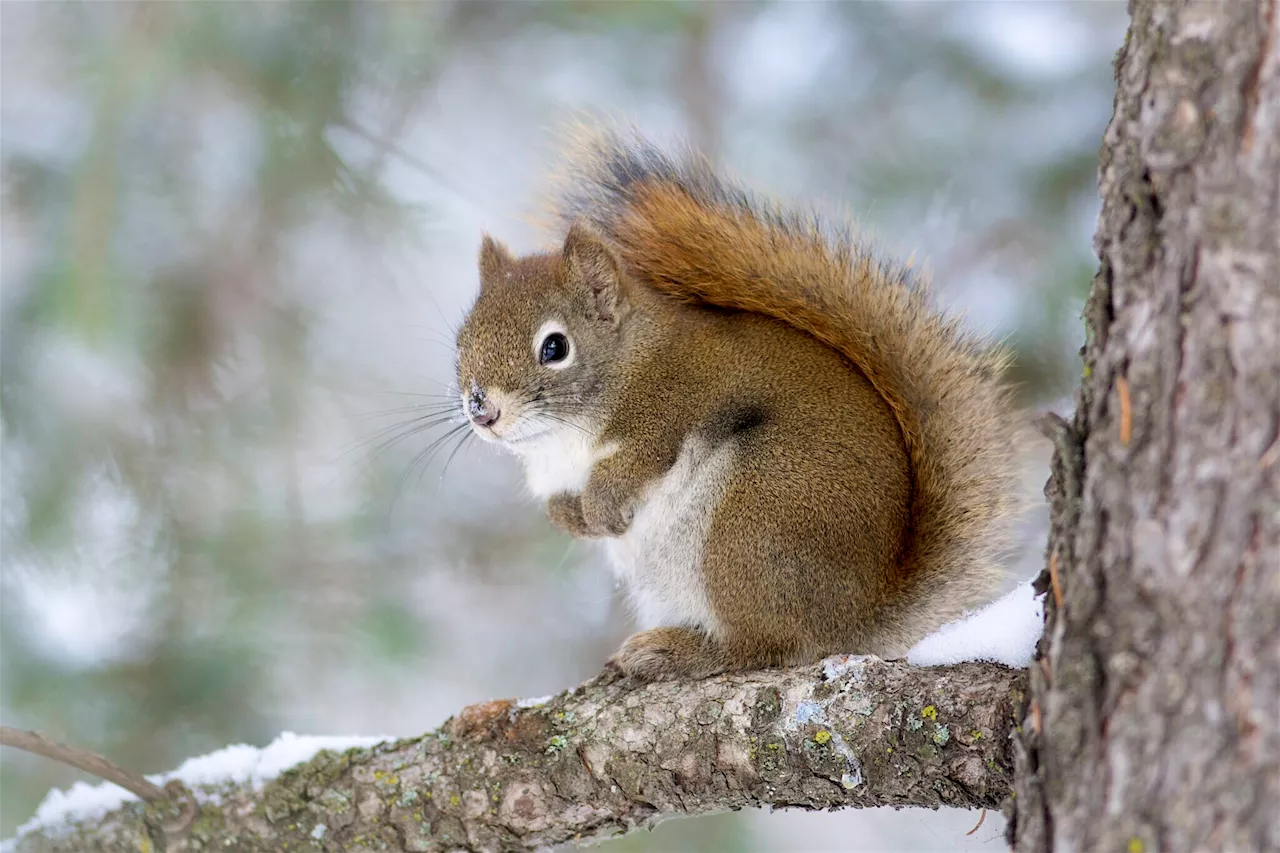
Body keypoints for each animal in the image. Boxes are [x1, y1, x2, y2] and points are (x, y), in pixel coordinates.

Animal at [453, 124, 1018, 676]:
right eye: (461, 340)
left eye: (555, 347)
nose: (482, 410)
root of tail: (859, 616)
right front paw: (572, 516)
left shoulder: (680, 398)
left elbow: (638, 460)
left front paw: (602, 505)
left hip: (753, 518)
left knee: (770, 645)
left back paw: (674, 653)